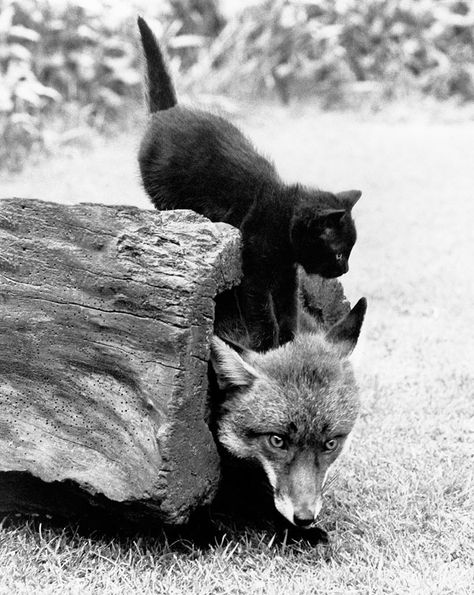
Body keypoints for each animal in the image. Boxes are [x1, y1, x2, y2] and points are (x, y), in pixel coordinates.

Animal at [138, 18, 362, 352]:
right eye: (338, 254)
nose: (345, 269)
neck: (282, 216)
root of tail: (167, 112)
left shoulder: (286, 276)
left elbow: (287, 308)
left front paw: (289, 338)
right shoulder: (254, 270)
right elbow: (262, 309)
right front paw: (267, 342)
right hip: (164, 193)